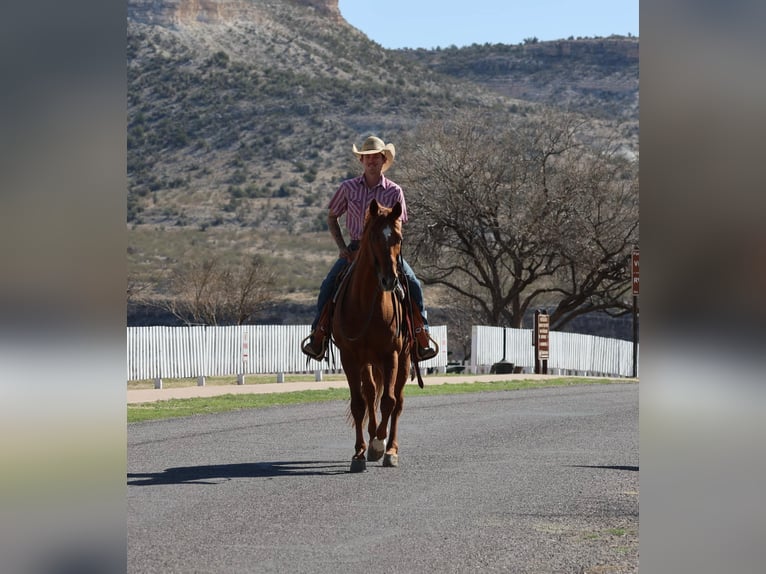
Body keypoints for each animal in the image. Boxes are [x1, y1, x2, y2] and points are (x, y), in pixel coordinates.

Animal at [331, 199, 414, 473]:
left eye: (398, 237)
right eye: (375, 237)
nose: (390, 280)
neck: (366, 303)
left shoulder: (392, 355)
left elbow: (389, 401)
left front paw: (380, 446)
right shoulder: (349, 357)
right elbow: (358, 403)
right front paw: (359, 452)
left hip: (404, 360)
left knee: (398, 401)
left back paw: (391, 447)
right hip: (367, 362)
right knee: (369, 394)